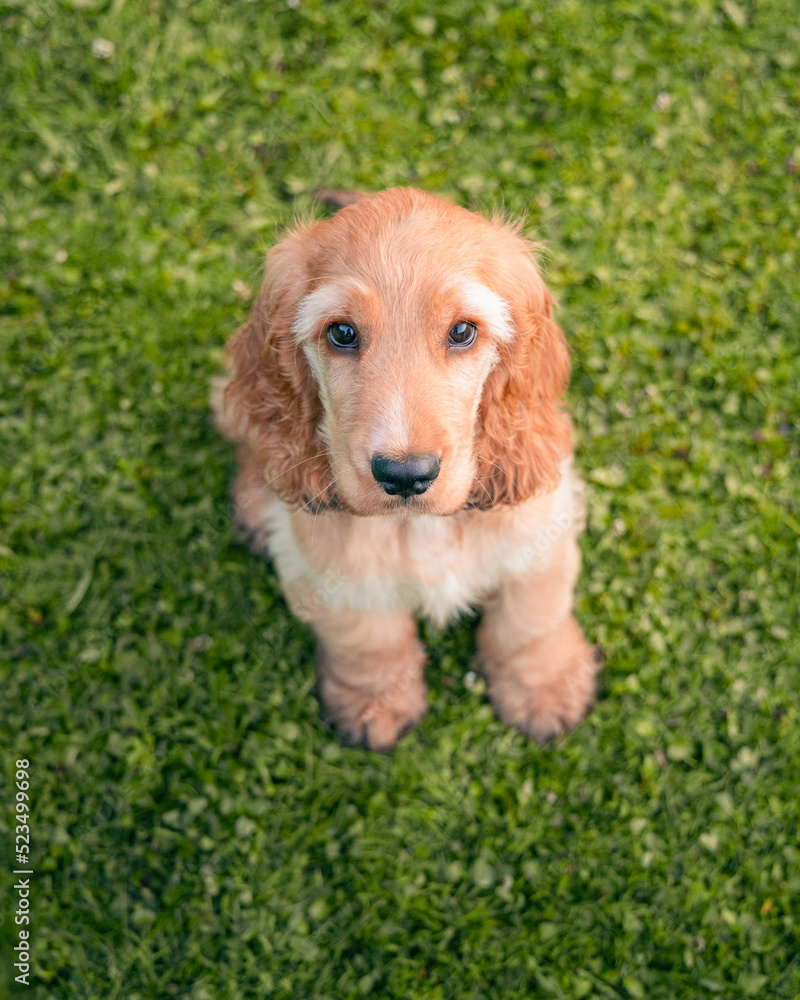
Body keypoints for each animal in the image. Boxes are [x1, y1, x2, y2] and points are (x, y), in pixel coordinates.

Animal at [212, 188, 600, 752]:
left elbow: (529, 621)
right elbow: (369, 642)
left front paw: (545, 689)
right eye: (342, 332)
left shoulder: (540, 531)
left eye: (462, 331)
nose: (404, 475)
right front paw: (375, 705)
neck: (420, 526)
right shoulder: (335, 572)